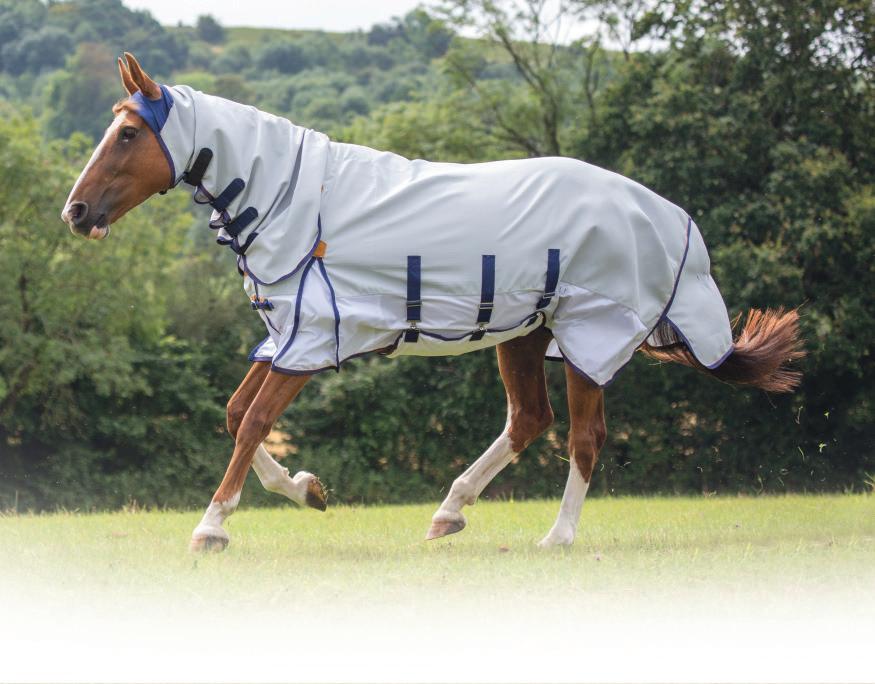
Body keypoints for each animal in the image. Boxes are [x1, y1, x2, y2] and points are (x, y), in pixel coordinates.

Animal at [61, 54, 803, 552]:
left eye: (128, 135)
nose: (75, 211)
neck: (296, 200)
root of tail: (669, 218)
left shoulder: (310, 344)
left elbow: (251, 424)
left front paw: (212, 525)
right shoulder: (285, 339)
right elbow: (236, 414)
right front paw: (307, 490)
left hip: (587, 339)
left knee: (584, 438)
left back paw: (556, 536)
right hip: (524, 334)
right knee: (529, 420)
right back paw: (450, 510)